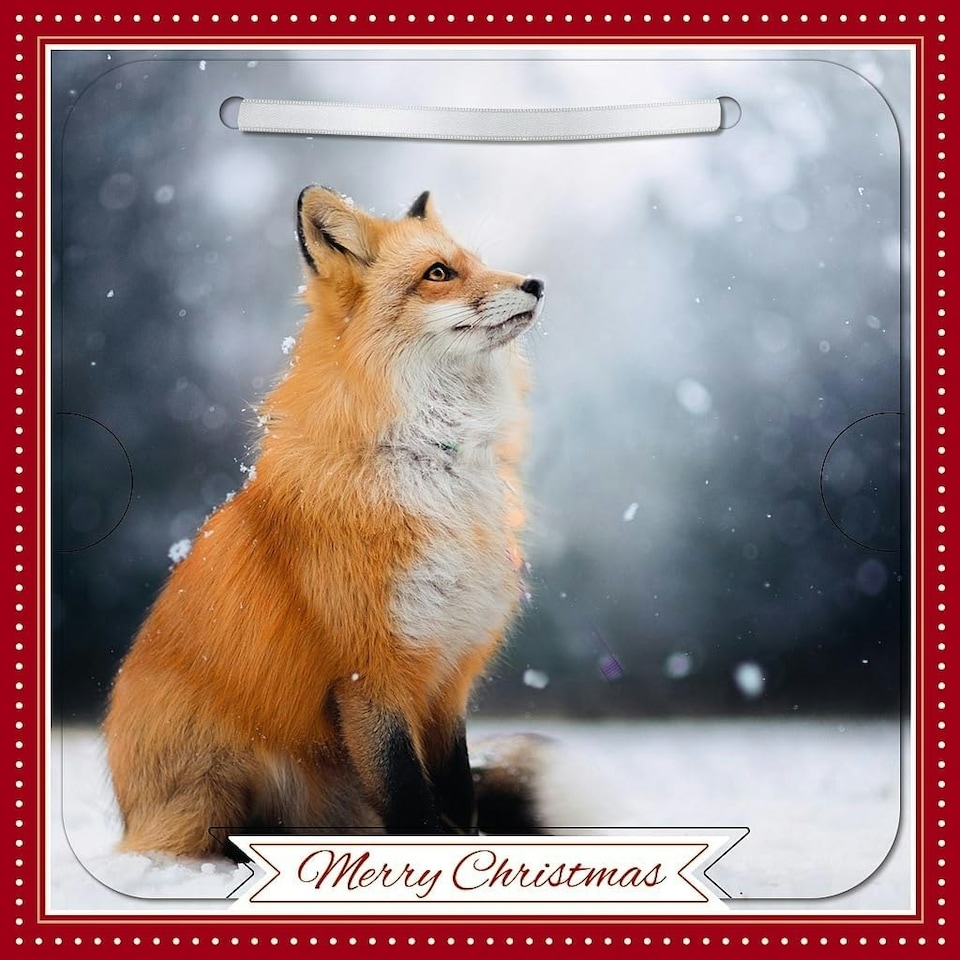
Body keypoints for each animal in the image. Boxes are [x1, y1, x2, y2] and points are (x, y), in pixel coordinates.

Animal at [103, 186, 547, 859]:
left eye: (475, 261)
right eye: (439, 273)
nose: (536, 283)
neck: (431, 462)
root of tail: (129, 813)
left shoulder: (448, 674)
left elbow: (458, 793)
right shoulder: (368, 673)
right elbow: (412, 803)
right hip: (220, 778)